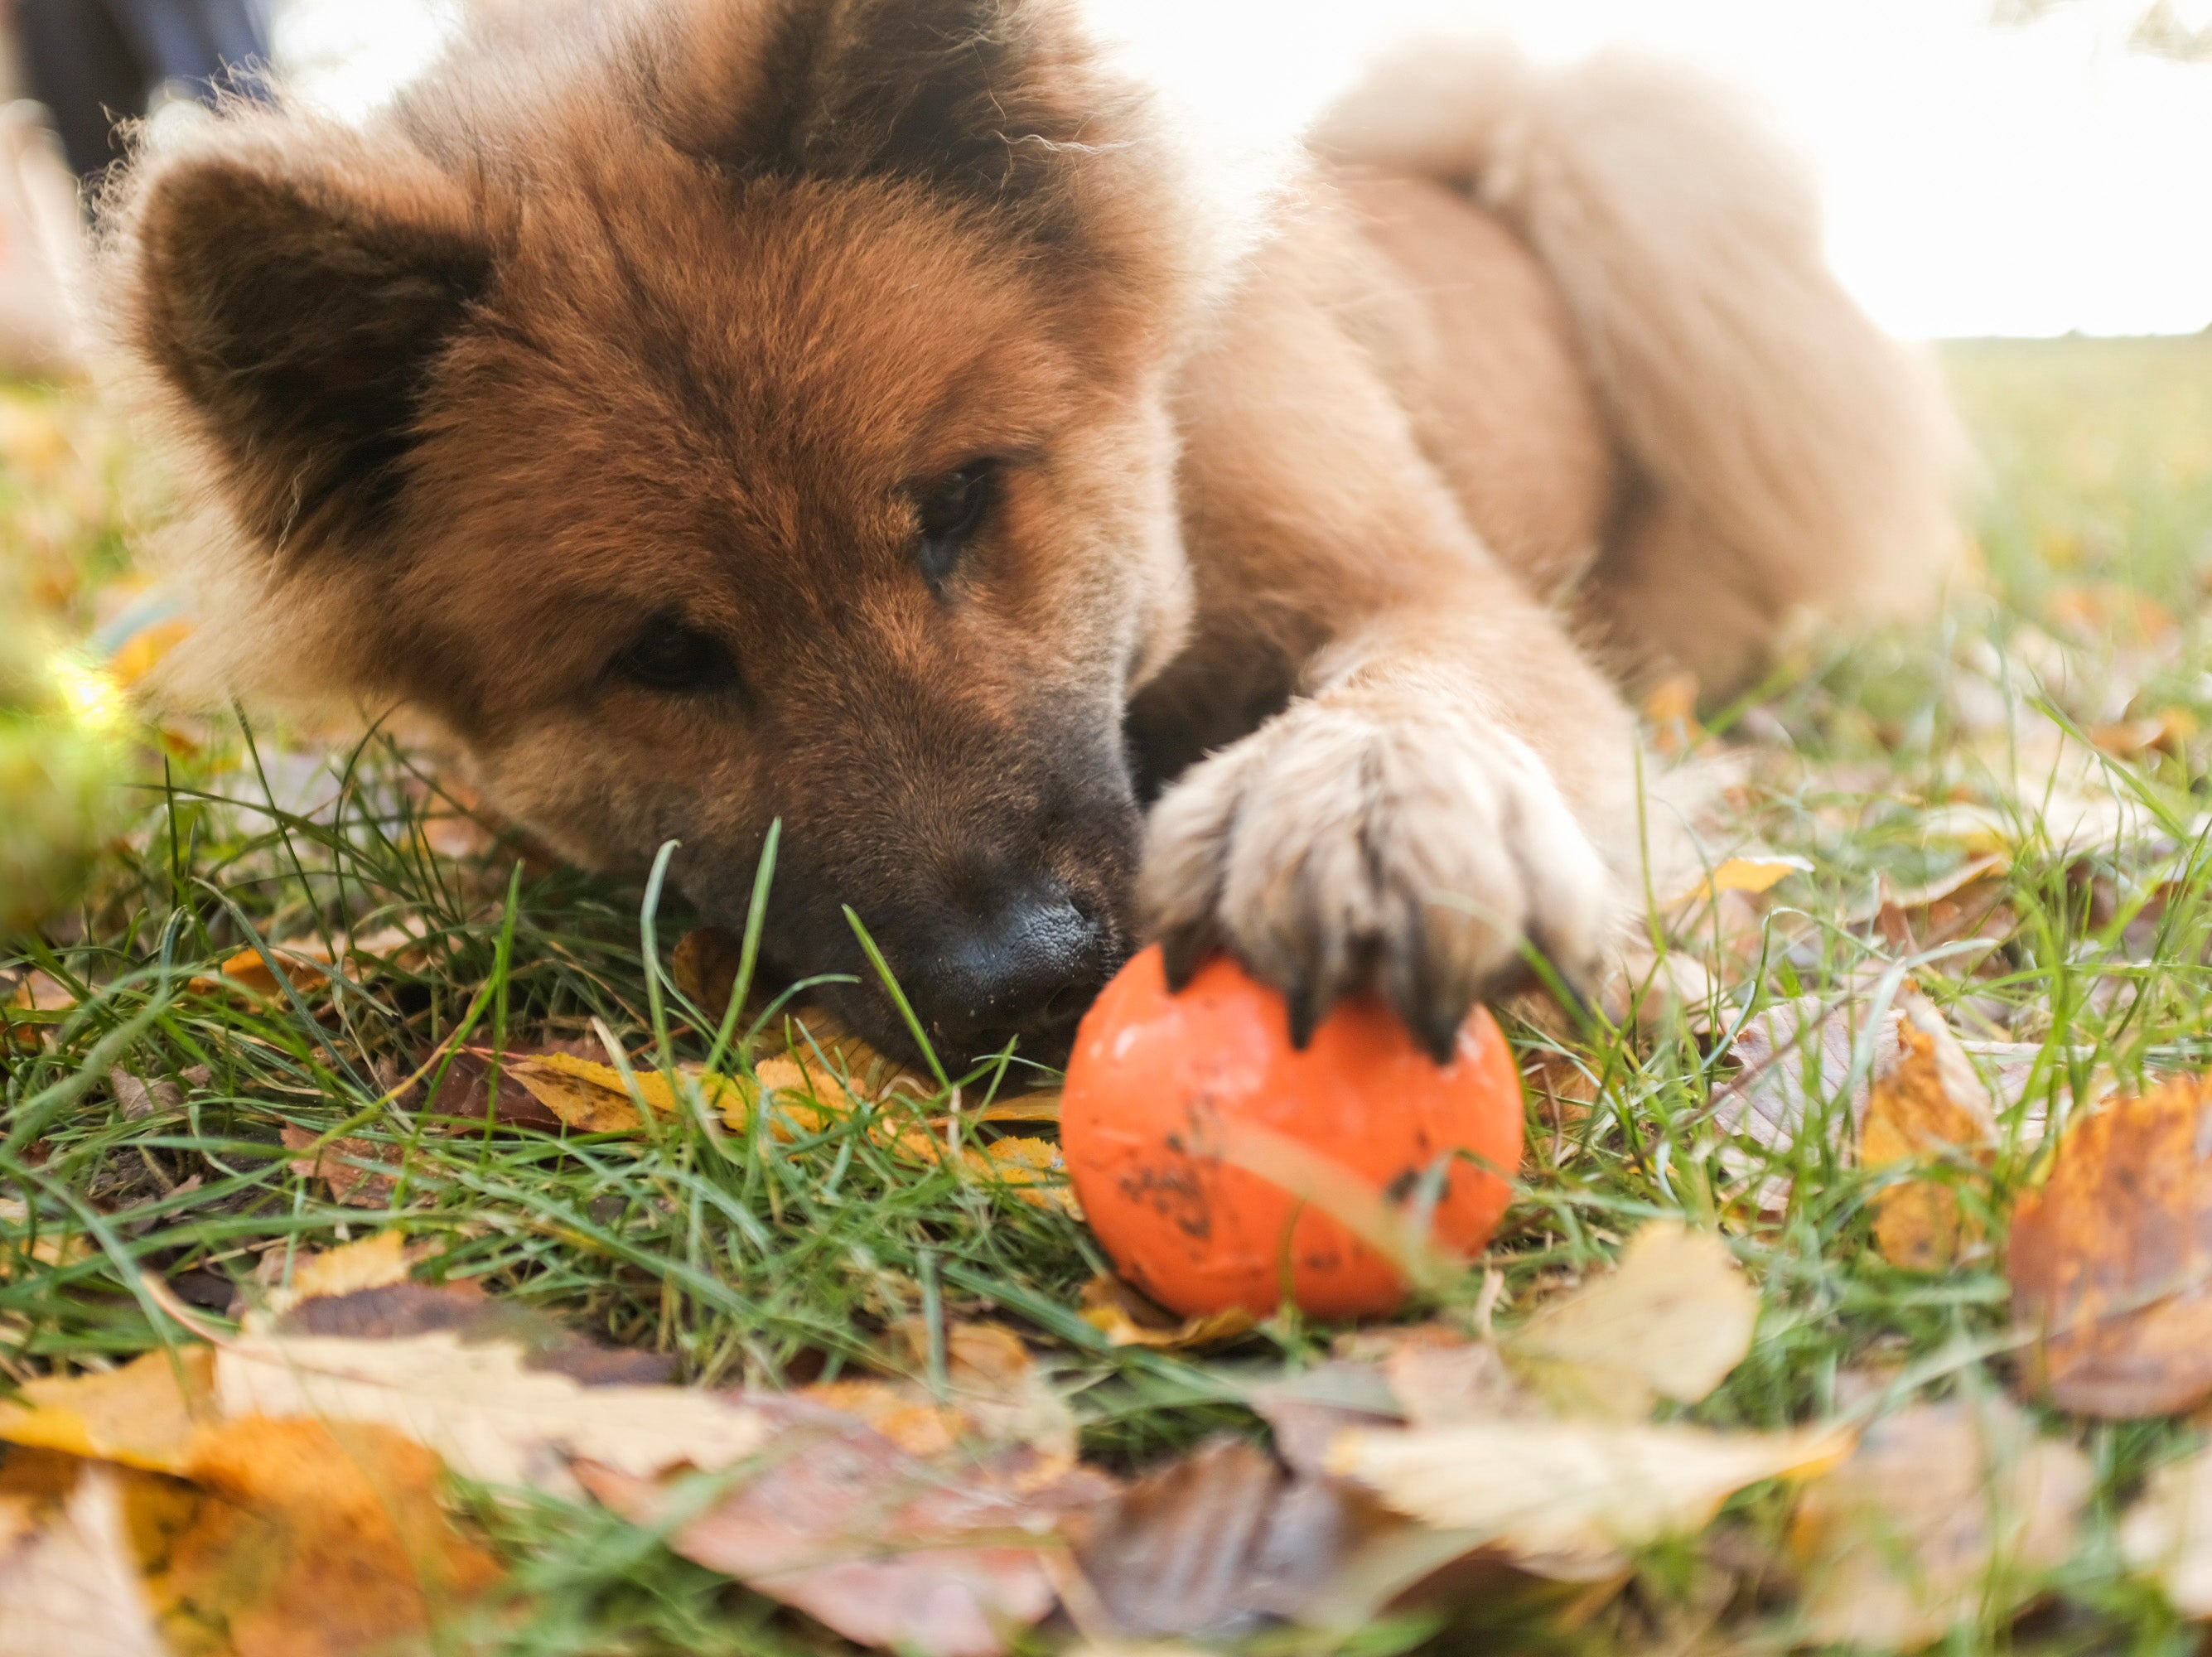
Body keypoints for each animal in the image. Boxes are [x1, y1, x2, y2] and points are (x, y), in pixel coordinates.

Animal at [99, 0, 1955, 1075]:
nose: (1020, 985)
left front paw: (1362, 812)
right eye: (665, 653)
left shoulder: (1426, 586)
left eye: (959, 505)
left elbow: (1422, 690)